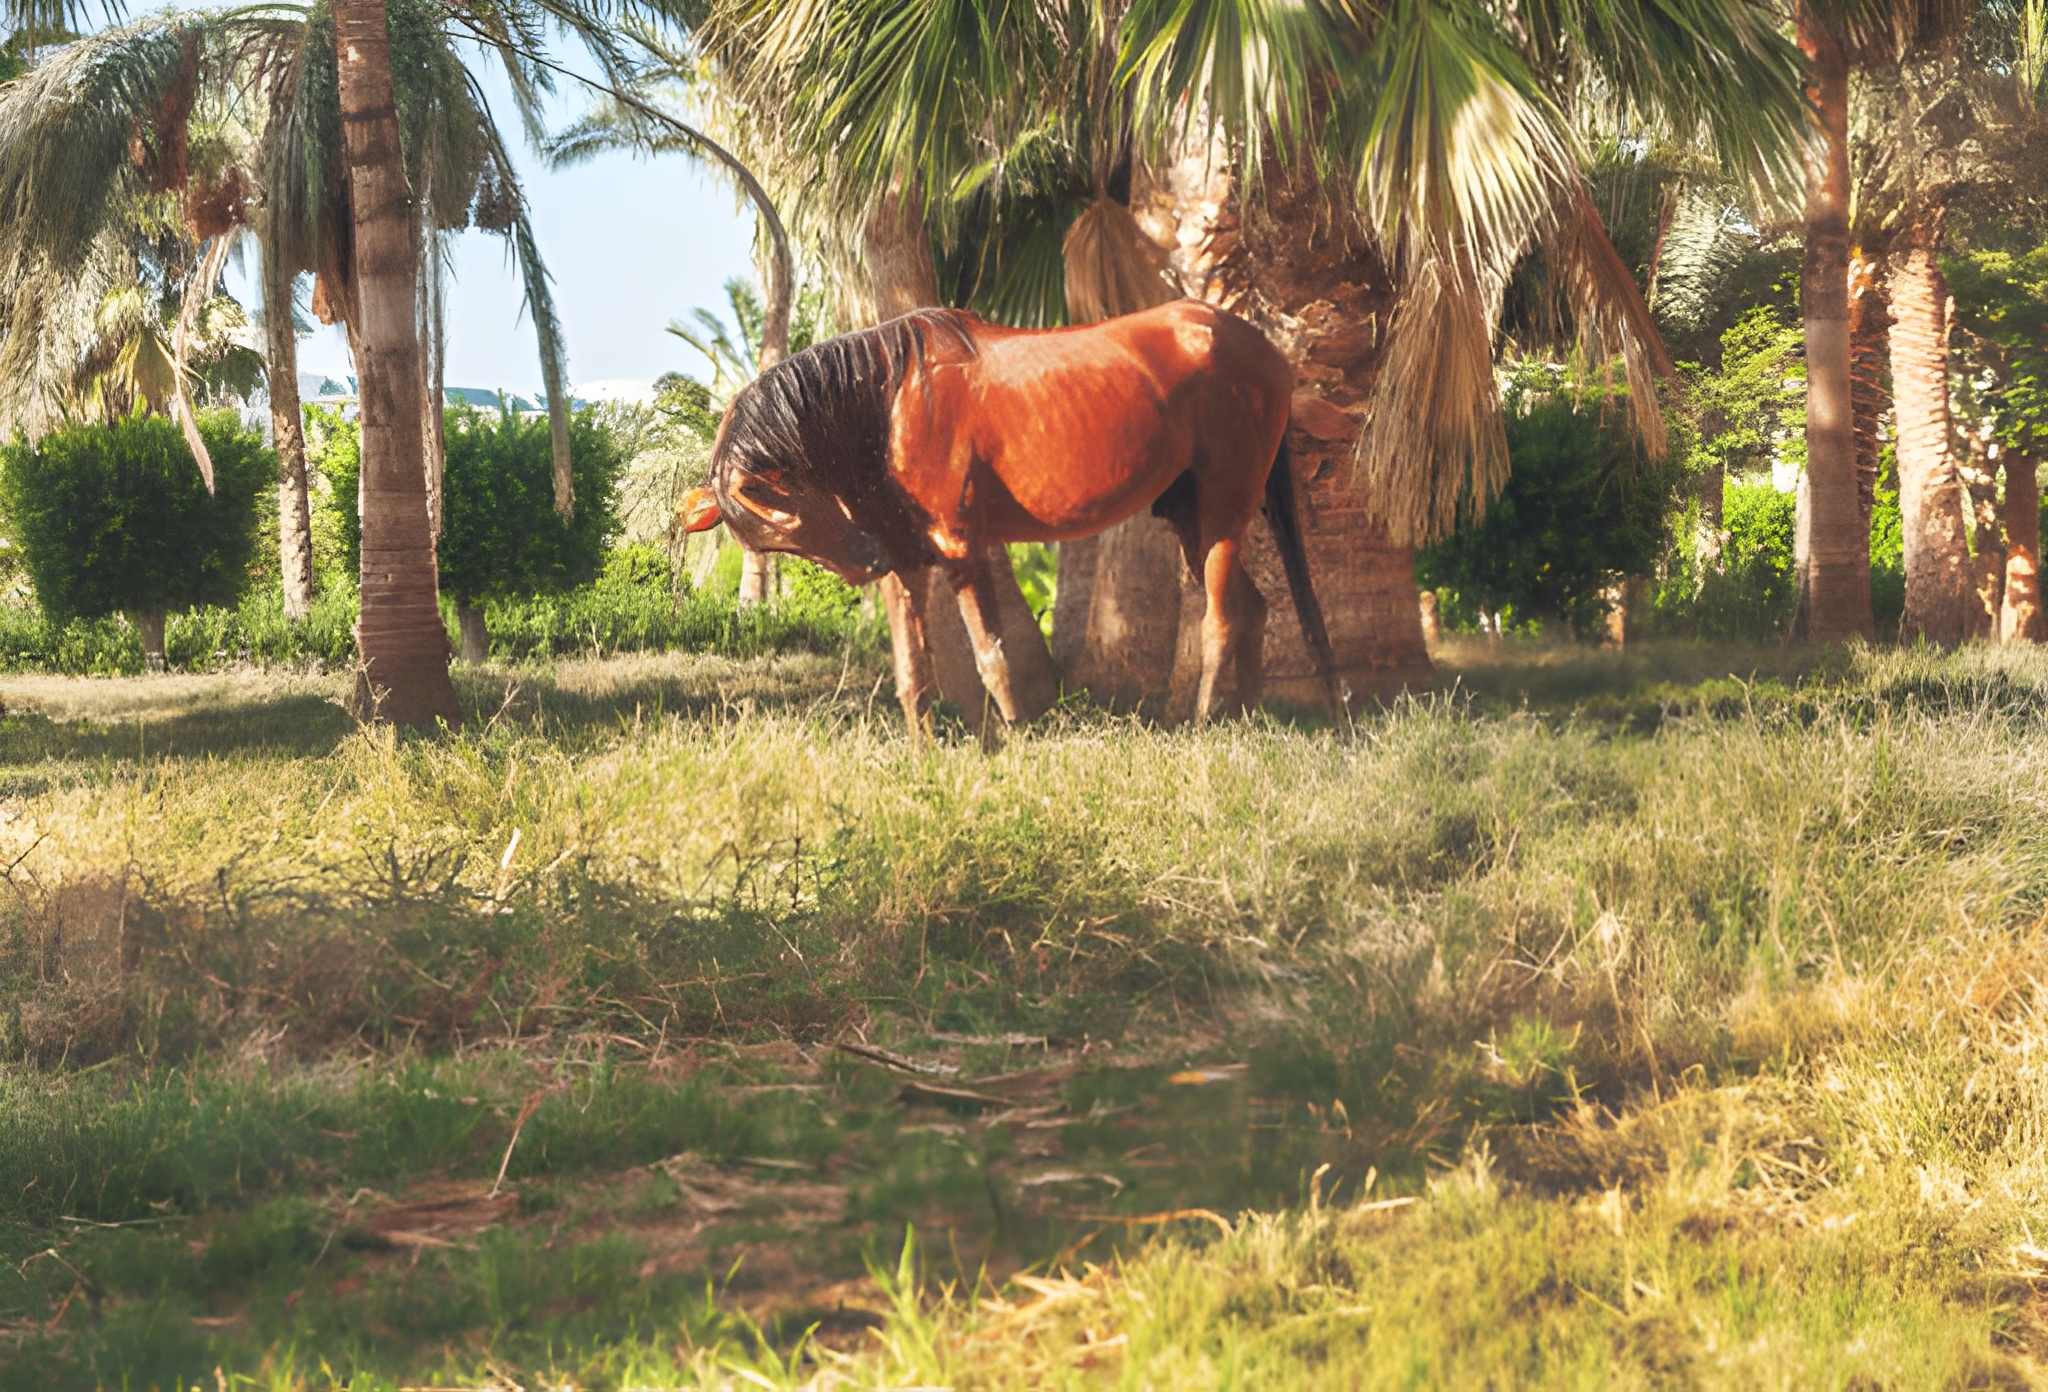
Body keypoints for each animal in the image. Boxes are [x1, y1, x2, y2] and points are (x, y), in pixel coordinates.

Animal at [674, 298, 1340, 729]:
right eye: (769, 539)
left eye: (785, 507)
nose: (865, 559)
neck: (889, 401)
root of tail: (1265, 350)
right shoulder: (907, 565)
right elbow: (912, 674)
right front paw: (926, 757)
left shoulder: (960, 549)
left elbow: (992, 657)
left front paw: (1016, 744)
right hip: (1189, 519)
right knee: (1253, 609)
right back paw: (1246, 721)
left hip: (1226, 506)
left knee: (1220, 620)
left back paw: (1204, 727)